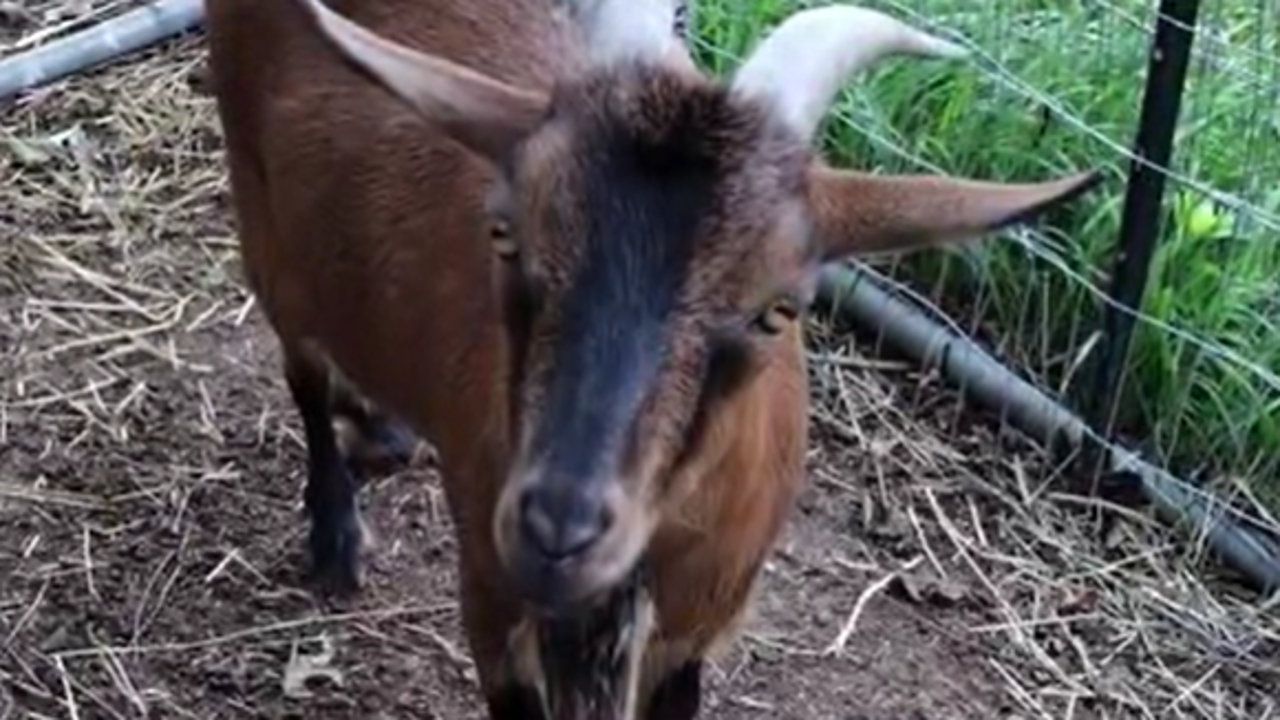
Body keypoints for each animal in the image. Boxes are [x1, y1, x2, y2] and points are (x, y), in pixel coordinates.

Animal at [203, 0, 1100, 717]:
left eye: (781, 309)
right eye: (505, 235)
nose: (557, 528)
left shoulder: (695, 627)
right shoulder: (492, 597)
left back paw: (382, 429)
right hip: (260, 210)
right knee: (302, 366)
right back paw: (336, 532)